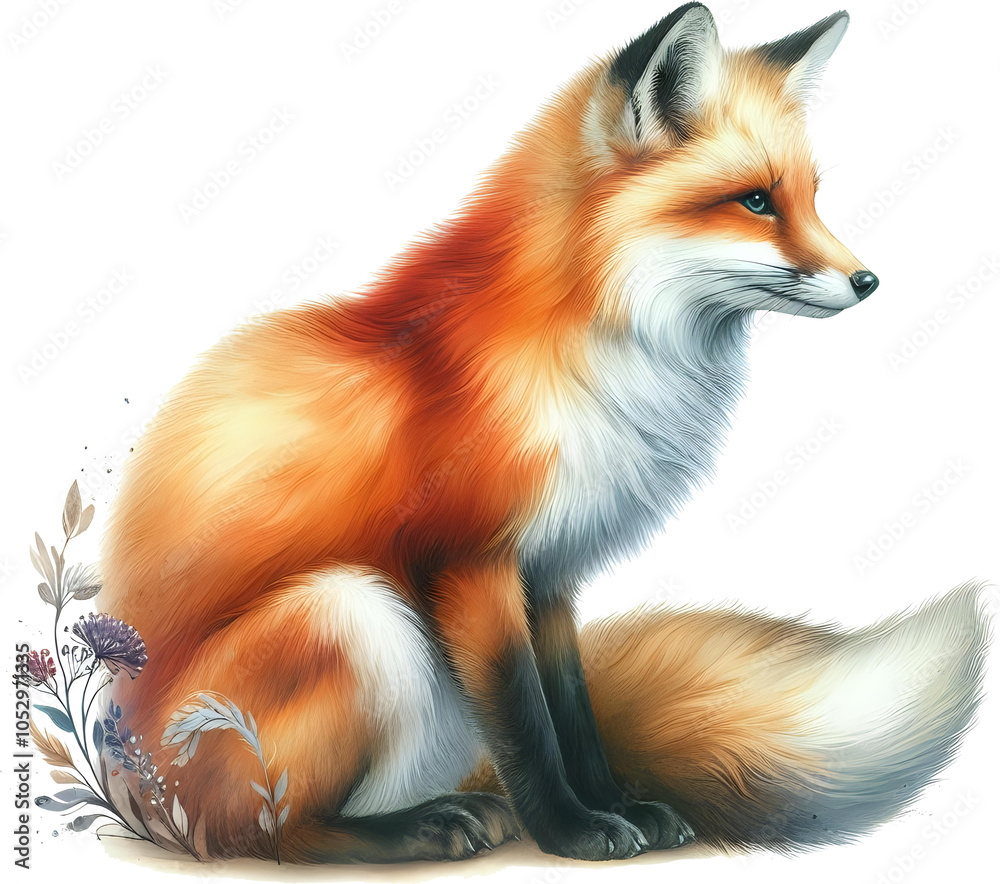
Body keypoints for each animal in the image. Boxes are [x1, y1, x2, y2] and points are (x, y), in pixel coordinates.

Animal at [98, 4, 988, 865]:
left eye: (809, 196)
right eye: (756, 201)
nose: (869, 281)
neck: (595, 354)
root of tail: (128, 786)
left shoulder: (553, 567)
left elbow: (573, 711)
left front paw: (619, 806)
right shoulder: (474, 560)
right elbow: (525, 718)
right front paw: (571, 831)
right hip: (347, 614)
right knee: (264, 834)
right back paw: (412, 829)